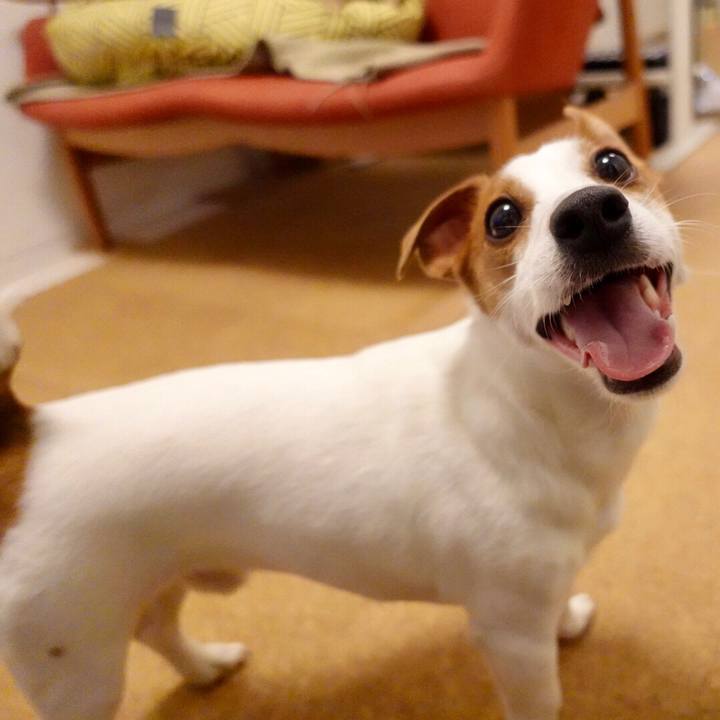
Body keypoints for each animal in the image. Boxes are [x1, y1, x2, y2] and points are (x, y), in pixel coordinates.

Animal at [0, 108, 684, 720]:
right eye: (502, 218)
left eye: (613, 164)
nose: (589, 212)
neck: (533, 409)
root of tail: (32, 437)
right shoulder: (510, 635)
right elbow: (540, 699)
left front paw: (566, 620)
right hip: (77, 670)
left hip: (150, 584)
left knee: (158, 628)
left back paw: (206, 667)